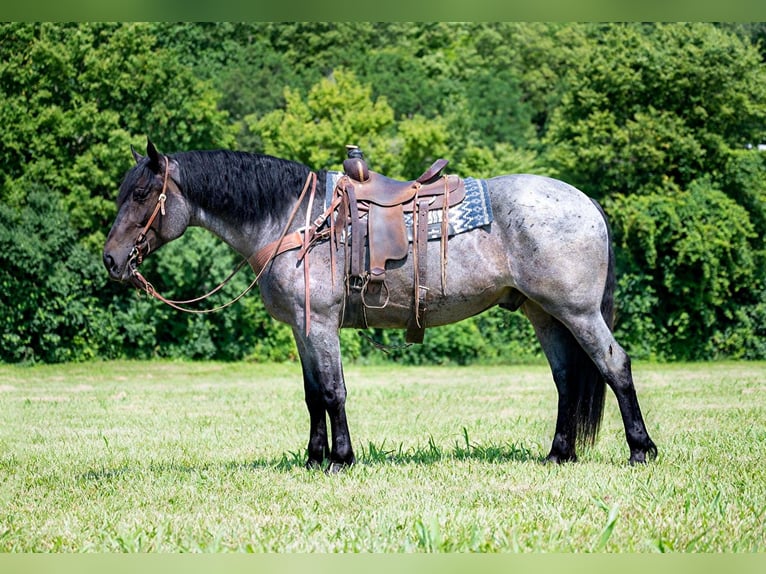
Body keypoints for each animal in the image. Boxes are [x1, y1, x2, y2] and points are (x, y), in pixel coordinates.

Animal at [103, 141, 660, 472]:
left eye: (143, 192)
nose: (111, 259)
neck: (294, 222)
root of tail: (585, 202)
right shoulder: (302, 329)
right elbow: (313, 395)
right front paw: (313, 459)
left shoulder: (320, 324)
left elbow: (333, 392)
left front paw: (341, 459)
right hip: (543, 314)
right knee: (567, 380)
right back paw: (558, 454)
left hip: (577, 312)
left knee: (614, 365)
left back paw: (642, 450)